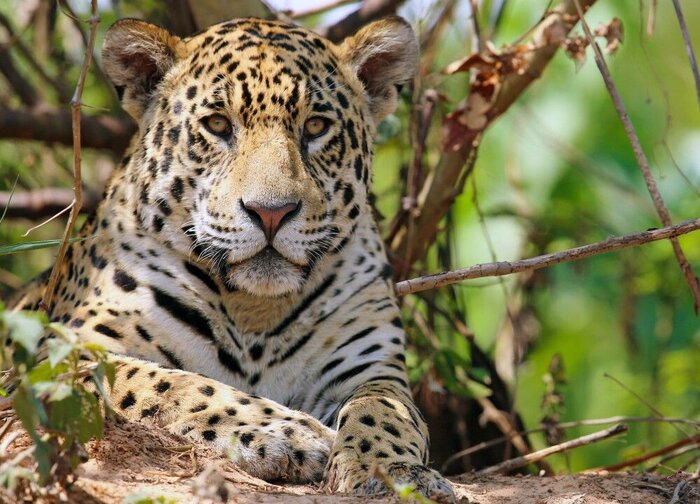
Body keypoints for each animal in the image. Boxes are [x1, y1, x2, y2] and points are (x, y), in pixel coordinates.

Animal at [11, 15, 455, 502]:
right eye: (218, 125)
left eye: (317, 126)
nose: (272, 212)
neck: (254, 309)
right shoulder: (61, 355)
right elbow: (175, 384)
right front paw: (286, 432)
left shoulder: (371, 366)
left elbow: (385, 410)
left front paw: (391, 472)